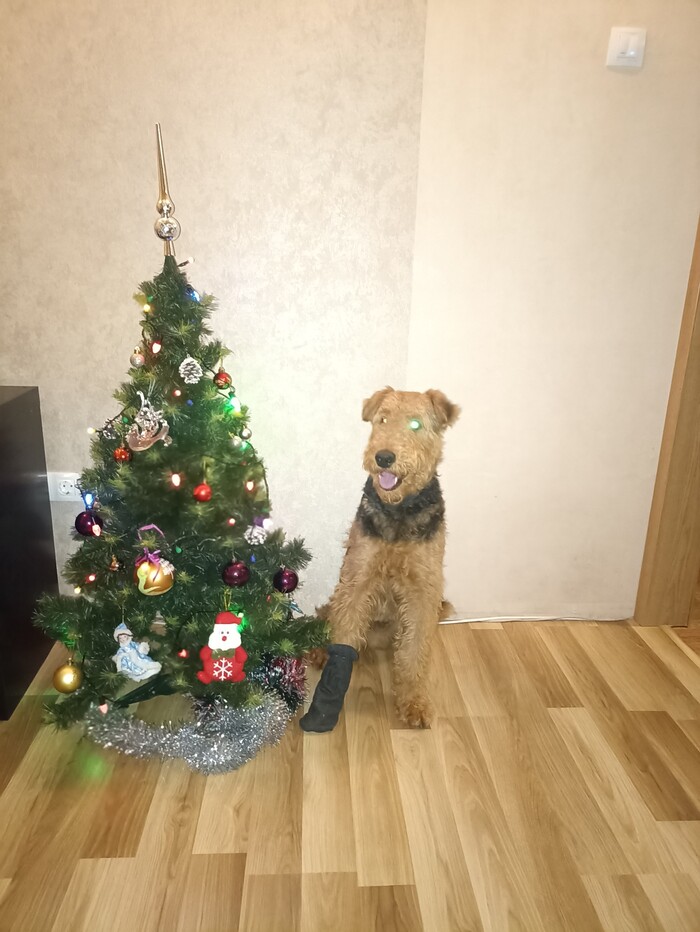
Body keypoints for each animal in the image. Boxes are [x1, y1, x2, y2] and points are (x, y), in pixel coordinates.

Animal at [300, 386, 459, 732]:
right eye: (382, 419)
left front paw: (414, 703)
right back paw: (318, 651)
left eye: (415, 424)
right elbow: (344, 633)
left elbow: (414, 652)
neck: (398, 510)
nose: (383, 457)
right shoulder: (358, 577)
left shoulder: (423, 590)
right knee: (327, 619)